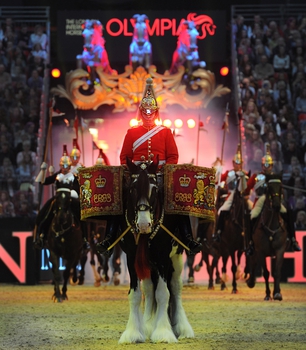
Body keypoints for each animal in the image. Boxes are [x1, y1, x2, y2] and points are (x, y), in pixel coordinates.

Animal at [119, 159, 194, 344]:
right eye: (132, 188)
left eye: (155, 188)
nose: (143, 224)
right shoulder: (131, 259)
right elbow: (135, 295)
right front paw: (133, 333)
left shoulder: (162, 258)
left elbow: (163, 293)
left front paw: (163, 332)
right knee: (148, 289)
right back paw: (147, 326)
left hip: (175, 259)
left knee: (175, 287)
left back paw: (182, 328)